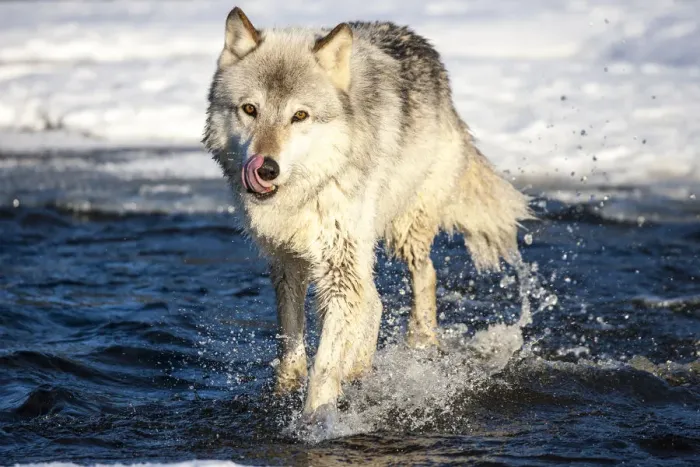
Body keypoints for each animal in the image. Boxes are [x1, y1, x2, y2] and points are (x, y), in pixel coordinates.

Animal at [203, 7, 532, 417]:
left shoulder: (339, 267)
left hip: (403, 229)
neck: (304, 194)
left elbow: (325, 362)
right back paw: (360, 369)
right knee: (374, 302)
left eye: (299, 116)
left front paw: (316, 418)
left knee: (425, 275)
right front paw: (285, 391)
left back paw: (420, 343)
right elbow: (291, 340)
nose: (266, 169)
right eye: (250, 109)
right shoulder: (287, 262)